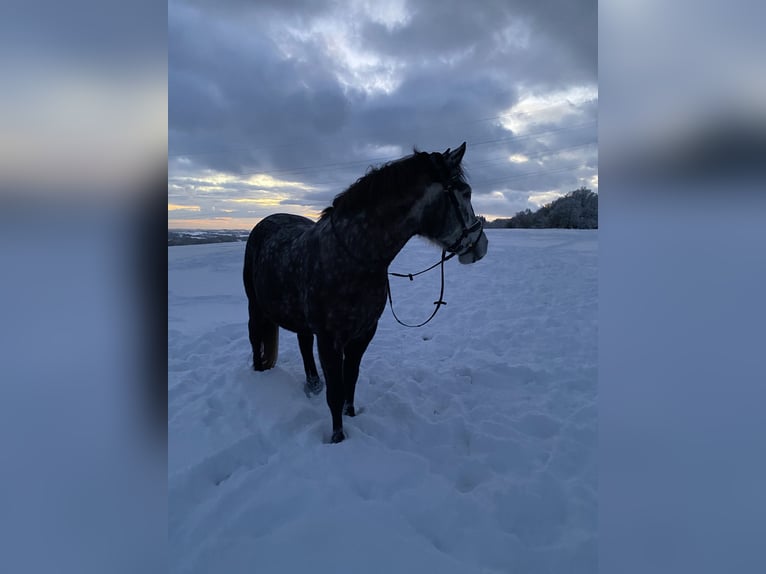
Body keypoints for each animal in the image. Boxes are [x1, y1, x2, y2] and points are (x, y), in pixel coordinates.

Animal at [243, 142, 488, 443]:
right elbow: (336, 392)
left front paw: (351, 416)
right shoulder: (329, 339)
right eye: (466, 193)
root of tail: (265, 222)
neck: (352, 257)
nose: (481, 245)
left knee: (303, 343)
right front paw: (338, 438)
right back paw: (260, 376)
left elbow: (351, 380)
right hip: (255, 305)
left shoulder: (364, 333)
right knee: (255, 337)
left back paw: (313, 383)